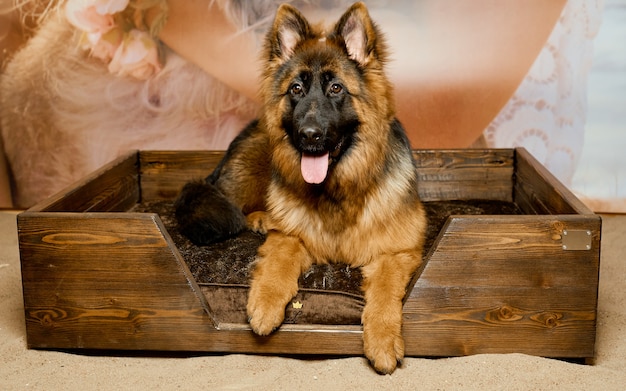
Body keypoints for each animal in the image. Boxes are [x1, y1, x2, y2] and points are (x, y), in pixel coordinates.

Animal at [173, 3, 426, 376]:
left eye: (336, 88)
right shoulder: (291, 235)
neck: (335, 191)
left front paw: (381, 340)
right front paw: (265, 305)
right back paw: (259, 218)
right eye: (295, 89)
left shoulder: (397, 252)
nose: (309, 135)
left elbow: (385, 287)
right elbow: (281, 255)